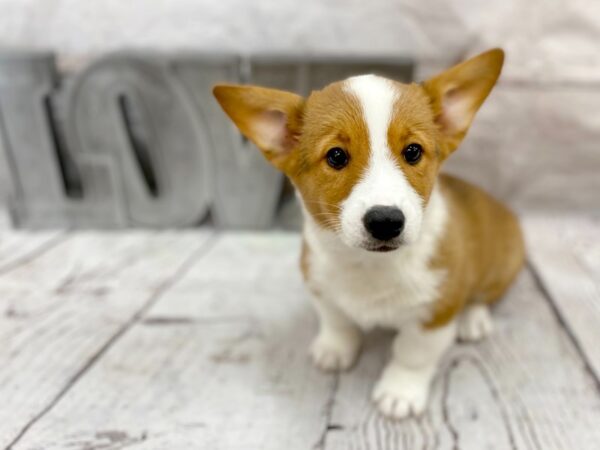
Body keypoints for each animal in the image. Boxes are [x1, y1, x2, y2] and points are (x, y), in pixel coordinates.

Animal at [213, 49, 524, 418]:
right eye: (336, 156)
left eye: (413, 151)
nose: (386, 221)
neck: (369, 266)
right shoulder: (320, 287)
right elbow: (336, 321)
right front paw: (334, 349)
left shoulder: (435, 313)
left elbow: (413, 354)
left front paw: (400, 392)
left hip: (502, 264)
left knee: (484, 295)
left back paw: (472, 319)